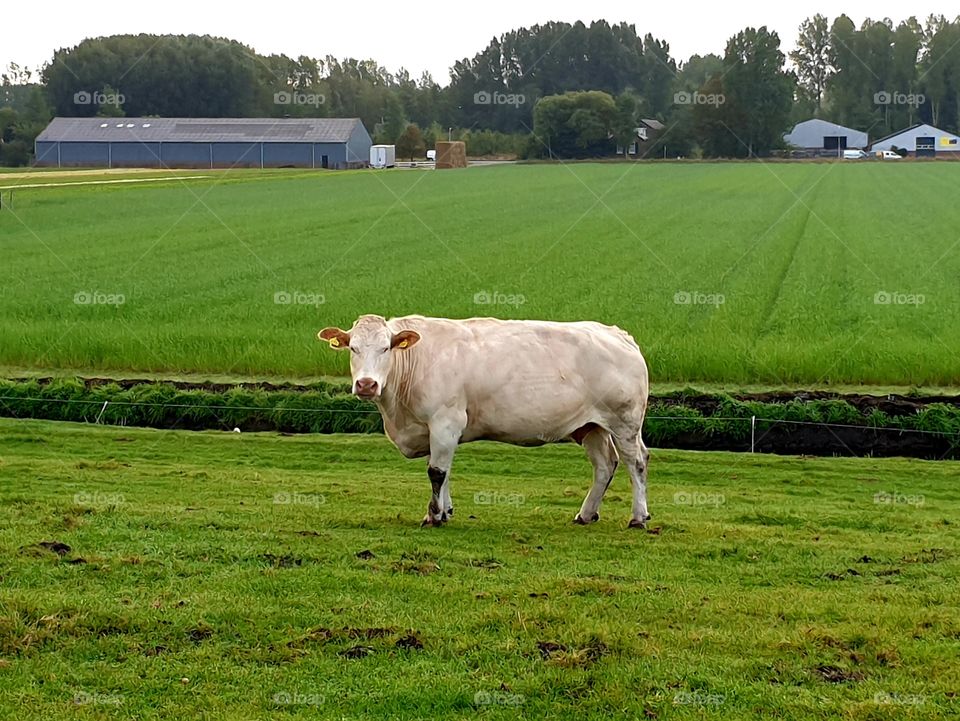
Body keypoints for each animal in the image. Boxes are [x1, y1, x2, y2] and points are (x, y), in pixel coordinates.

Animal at [318, 315, 650, 528]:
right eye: (352, 348)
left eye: (386, 348)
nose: (366, 384)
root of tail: (617, 334)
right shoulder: (436, 430)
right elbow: (445, 470)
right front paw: (446, 511)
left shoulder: (445, 420)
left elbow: (436, 472)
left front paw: (433, 516)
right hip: (591, 427)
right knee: (604, 465)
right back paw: (585, 514)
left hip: (624, 423)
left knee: (636, 462)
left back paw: (638, 517)